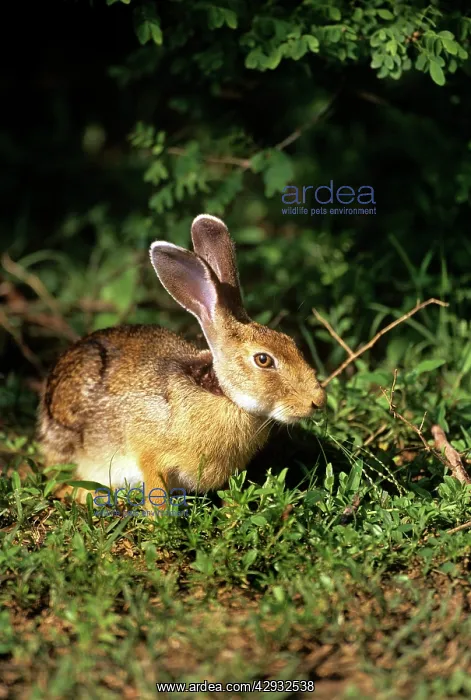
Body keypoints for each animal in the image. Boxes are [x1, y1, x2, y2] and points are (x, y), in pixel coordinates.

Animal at [37, 214, 326, 508]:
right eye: (264, 360)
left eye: (289, 341)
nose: (318, 401)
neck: (223, 395)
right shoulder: (149, 454)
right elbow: (156, 493)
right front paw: (160, 519)